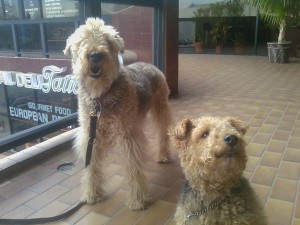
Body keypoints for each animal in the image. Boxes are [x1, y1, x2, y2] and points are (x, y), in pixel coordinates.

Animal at [63, 18, 171, 210]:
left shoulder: (128, 136)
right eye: (82, 41)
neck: (100, 98)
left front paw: (137, 200)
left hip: (160, 109)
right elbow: (91, 166)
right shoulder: (91, 136)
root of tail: (149, 64)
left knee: (163, 132)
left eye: (108, 41)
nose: (95, 55)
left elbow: (134, 167)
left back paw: (163, 155)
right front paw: (92, 194)